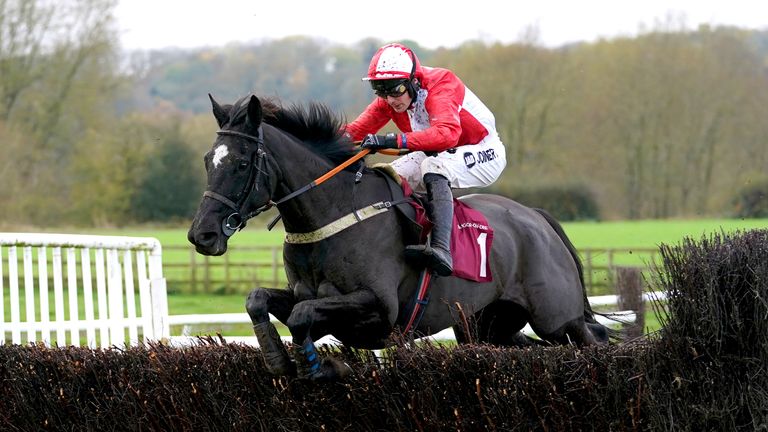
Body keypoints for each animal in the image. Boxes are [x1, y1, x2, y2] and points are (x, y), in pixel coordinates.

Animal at [188, 96, 612, 380]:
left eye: (242, 163)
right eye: (209, 160)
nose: (201, 235)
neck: (333, 215)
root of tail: (537, 218)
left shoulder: (379, 309)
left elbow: (301, 314)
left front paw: (318, 366)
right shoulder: (308, 297)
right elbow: (260, 299)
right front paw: (278, 359)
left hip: (557, 317)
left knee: (595, 339)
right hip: (487, 327)